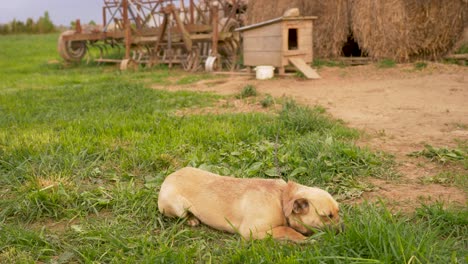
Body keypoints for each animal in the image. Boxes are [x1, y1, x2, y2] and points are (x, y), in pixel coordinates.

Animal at [158, 167, 340, 241]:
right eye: (327, 216)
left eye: (338, 212)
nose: (343, 228)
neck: (281, 199)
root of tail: (169, 177)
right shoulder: (250, 231)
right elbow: (285, 229)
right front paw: (302, 238)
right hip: (178, 207)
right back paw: (191, 219)